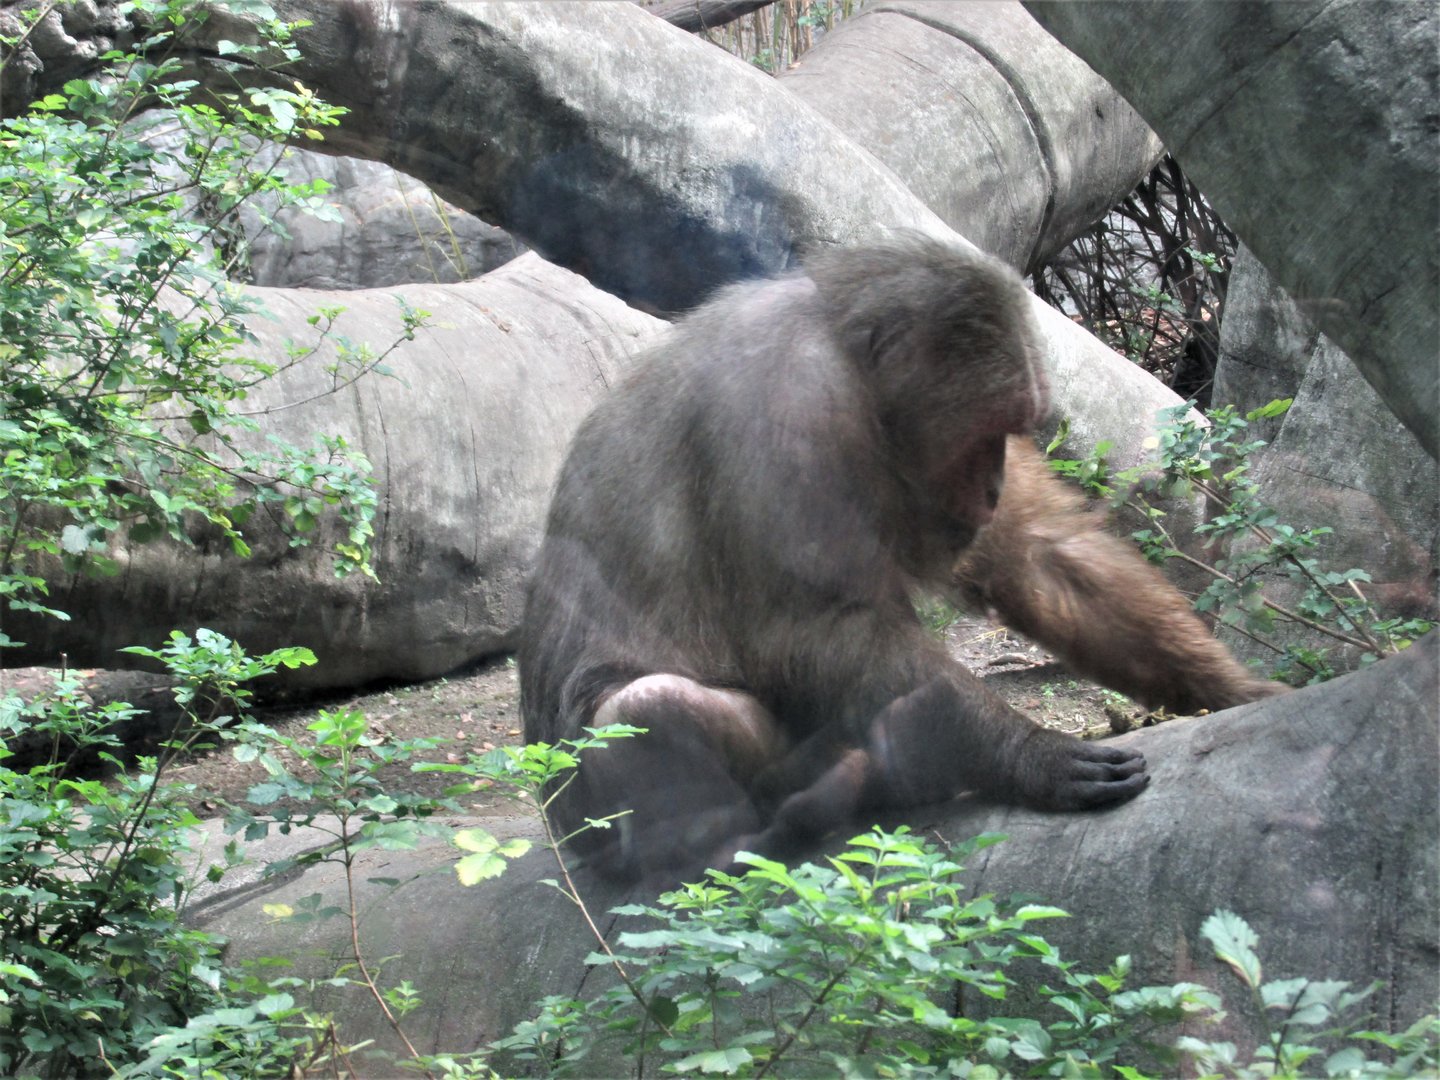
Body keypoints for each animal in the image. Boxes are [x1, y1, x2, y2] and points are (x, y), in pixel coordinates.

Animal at [519, 235, 1283, 884]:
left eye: (1009, 432)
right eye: (982, 435)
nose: (993, 483)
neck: (859, 386)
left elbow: (1041, 555)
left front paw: (1234, 689)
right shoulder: (789, 413)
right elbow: (812, 626)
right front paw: (1017, 750)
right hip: (588, 819)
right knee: (651, 704)